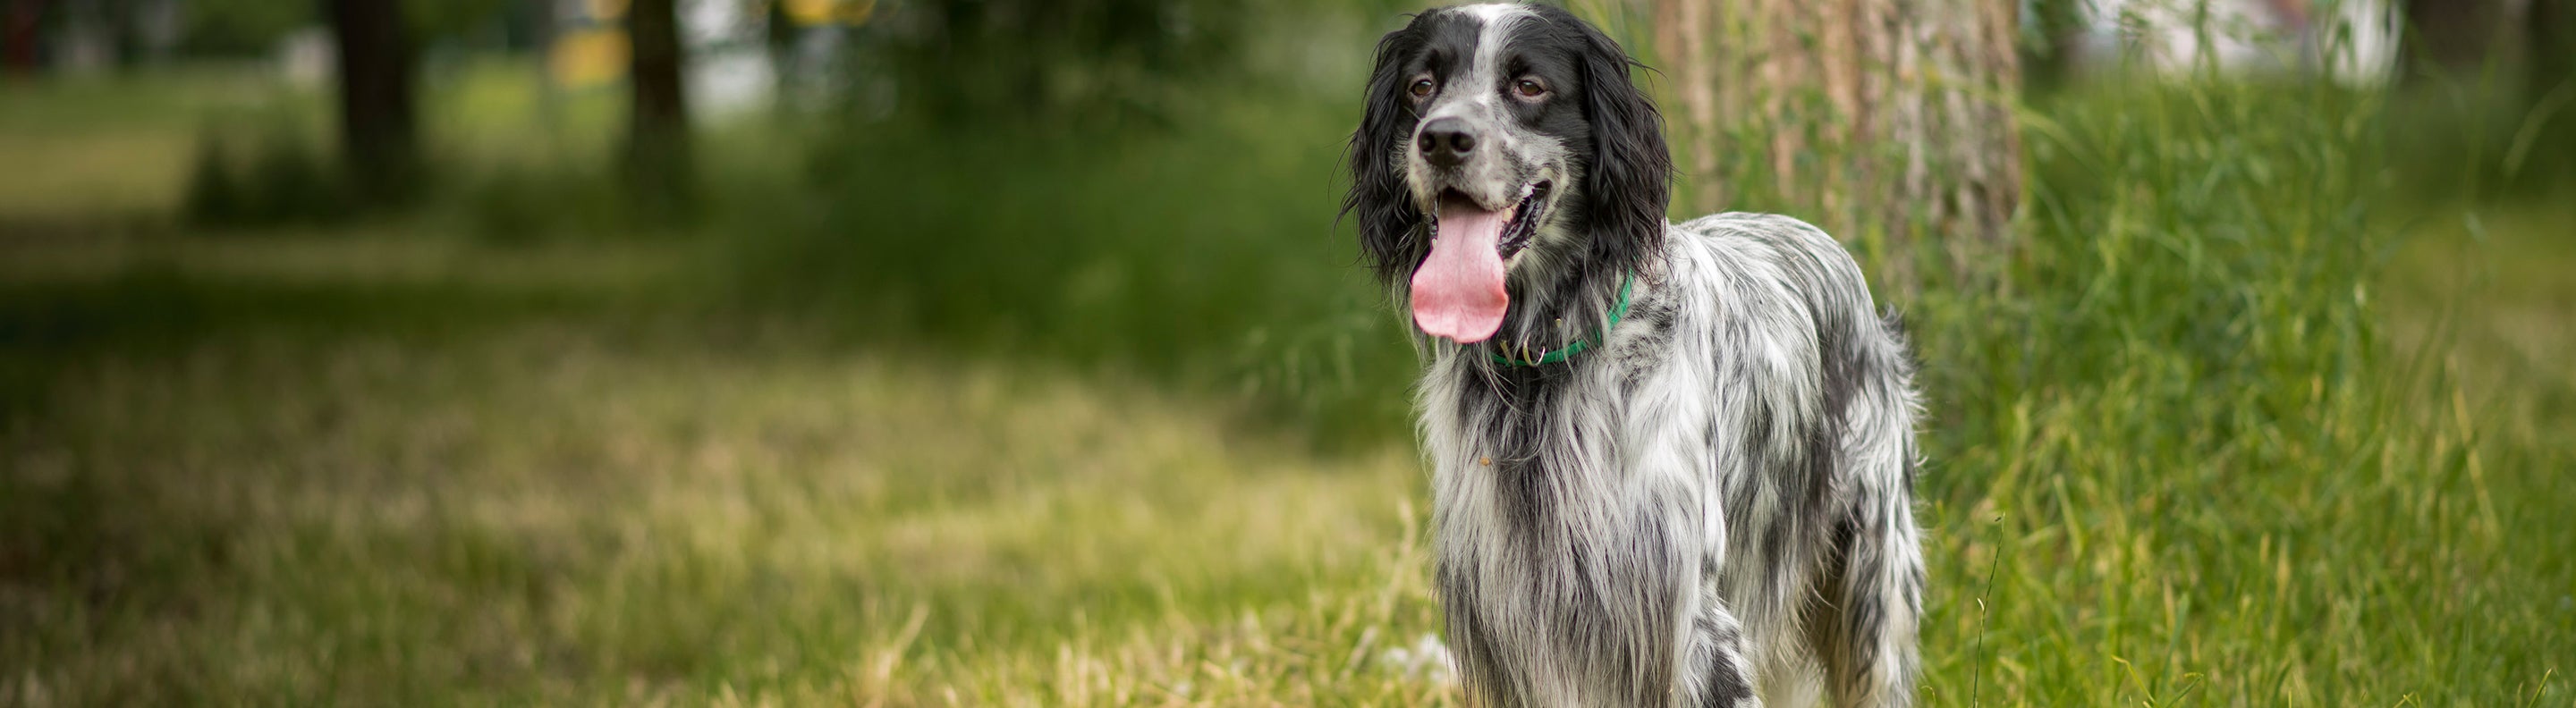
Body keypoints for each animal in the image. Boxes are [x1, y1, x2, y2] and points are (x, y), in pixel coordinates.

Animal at [1350, 3, 1936, 705]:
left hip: (1873, 597)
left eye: (1529, 86)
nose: (1441, 139)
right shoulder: (1516, 631)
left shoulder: (1691, 626)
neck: (1544, 372)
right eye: (1421, 86)